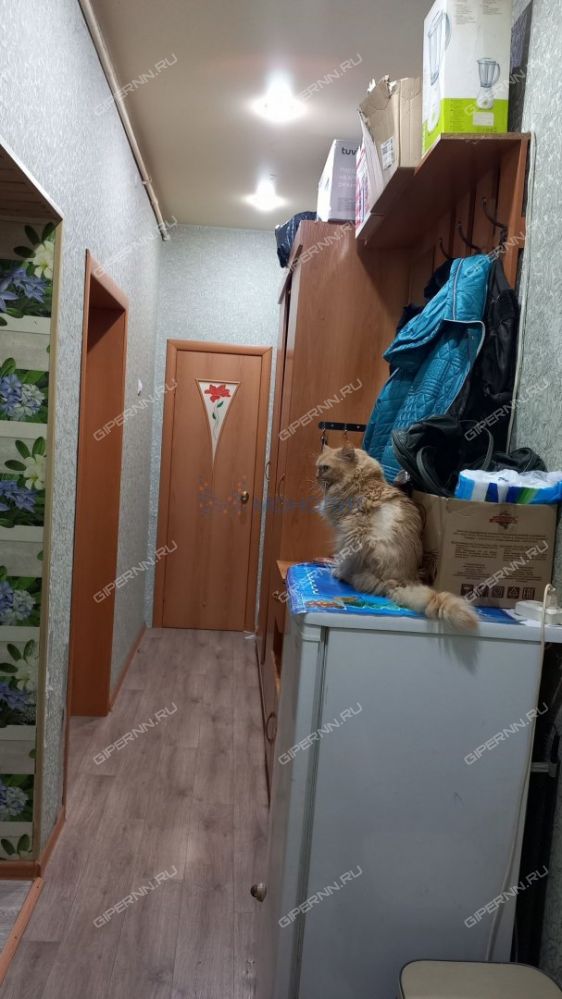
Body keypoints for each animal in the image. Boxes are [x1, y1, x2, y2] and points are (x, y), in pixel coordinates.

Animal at [316, 442, 478, 630]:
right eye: (317, 467)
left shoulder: (346, 531)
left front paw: (336, 569)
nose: (316, 477)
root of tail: (401, 581)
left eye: (325, 468)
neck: (364, 480)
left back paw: (342, 575)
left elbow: (342, 558)